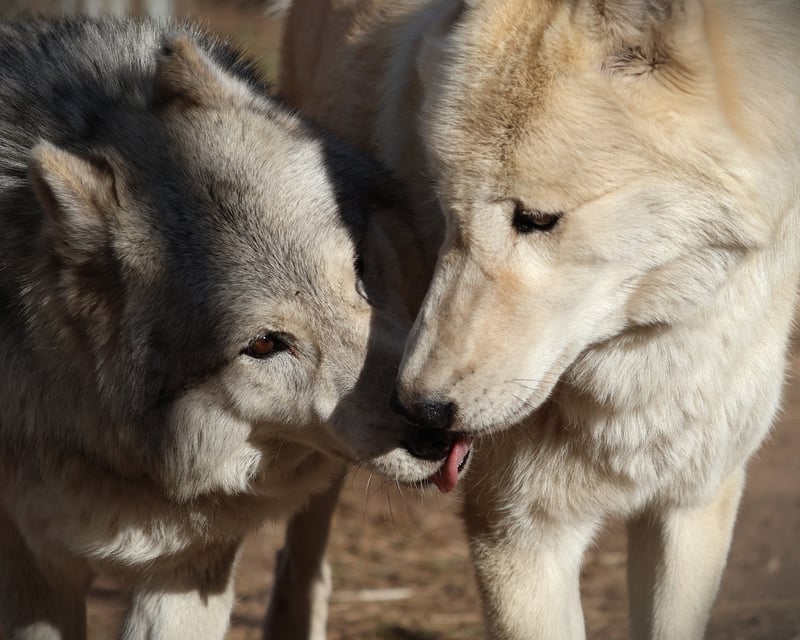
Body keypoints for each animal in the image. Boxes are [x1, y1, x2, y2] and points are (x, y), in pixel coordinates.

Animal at [278, 1, 800, 638]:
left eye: (536, 219)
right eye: (445, 208)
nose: (421, 409)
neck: (638, 373)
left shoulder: (693, 504)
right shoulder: (517, 532)